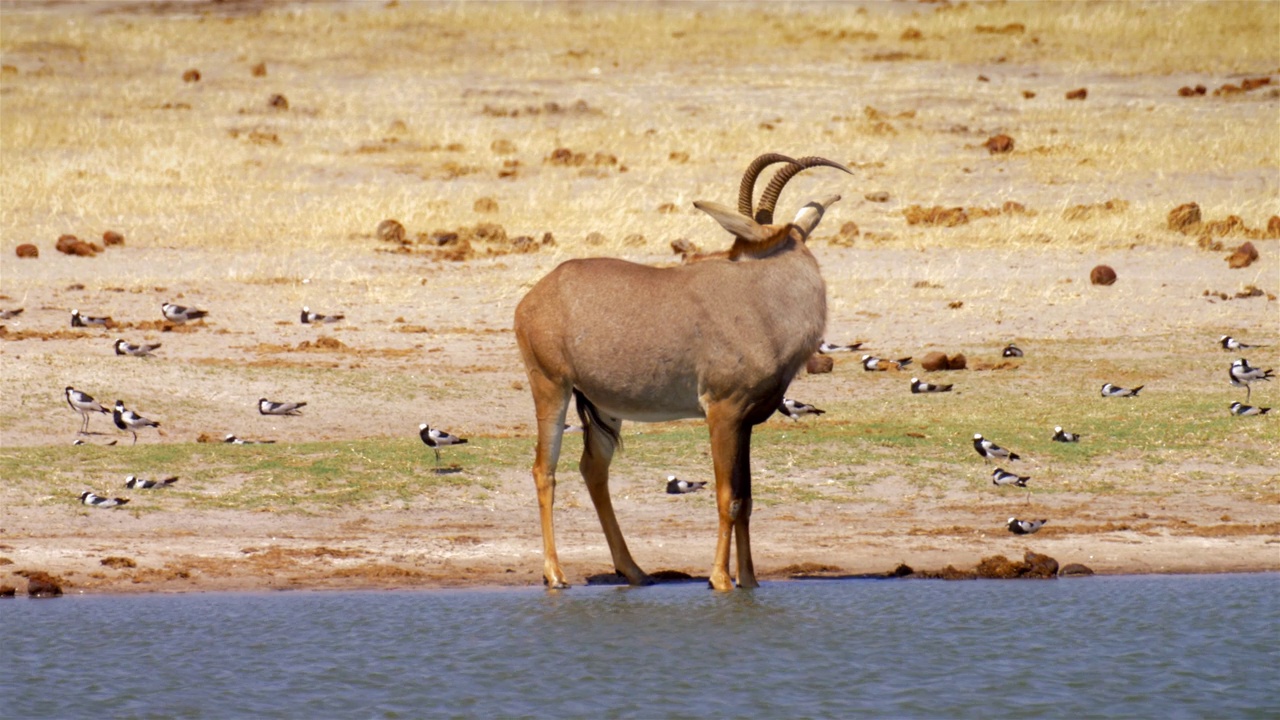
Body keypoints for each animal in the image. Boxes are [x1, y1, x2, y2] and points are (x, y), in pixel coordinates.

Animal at [509, 151, 849, 589]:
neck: (761, 299)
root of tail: (537, 296)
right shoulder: (722, 412)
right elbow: (727, 497)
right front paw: (720, 579)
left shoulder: (746, 422)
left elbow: (746, 499)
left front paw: (749, 582)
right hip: (552, 387)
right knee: (544, 470)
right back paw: (555, 575)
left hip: (603, 406)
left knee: (593, 470)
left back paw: (634, 571)